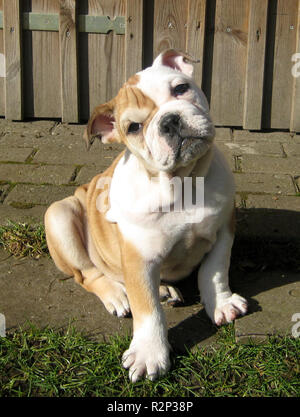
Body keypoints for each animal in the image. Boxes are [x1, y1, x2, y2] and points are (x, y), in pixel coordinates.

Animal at [44, 48, 246, 380]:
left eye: (181, 88)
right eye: (134, 127)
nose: (170, 121)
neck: (183, 181)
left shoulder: (223, 231)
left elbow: (214, 271)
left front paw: (222, 302)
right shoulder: (138, 257)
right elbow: (147, 309)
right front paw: (150, 353)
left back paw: (164, 288)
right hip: (58, 214)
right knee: (88, 274)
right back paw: (117, 294)